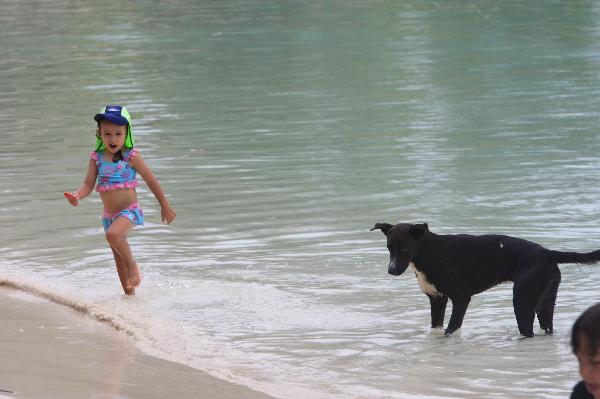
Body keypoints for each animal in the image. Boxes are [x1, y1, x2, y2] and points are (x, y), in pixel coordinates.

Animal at [370, 222, 600, 338]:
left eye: (404, 249)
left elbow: (450, 330)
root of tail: (546, 253)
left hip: (522, 302)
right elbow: (437, 328)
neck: (429, 252)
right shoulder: (437, 299)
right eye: (389, 249)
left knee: (528, 331)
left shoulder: (461, 298)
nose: (391, 270)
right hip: (545, 301)